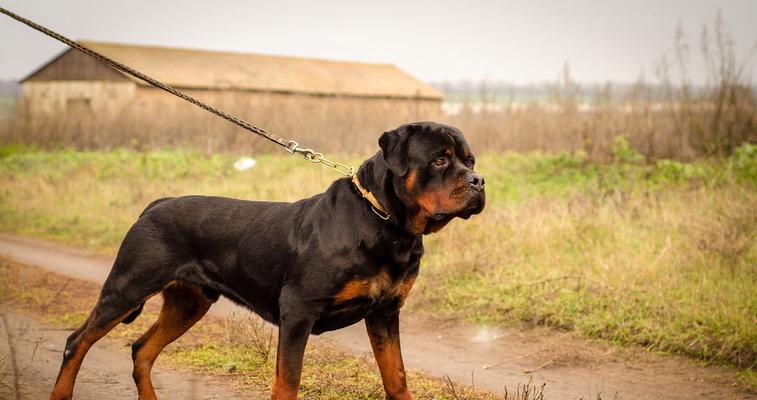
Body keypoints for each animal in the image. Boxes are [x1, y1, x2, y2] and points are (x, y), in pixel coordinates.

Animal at [48, 120, 484, 398]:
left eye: (471, 161)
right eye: (440, 160)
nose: (479, 181)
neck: (384, 221)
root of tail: (155, 204)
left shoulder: (384, 313)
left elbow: (397, 379)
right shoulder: (298, 311)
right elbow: (286, 383)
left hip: (189, 302)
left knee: (141, 350)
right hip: (127, 288)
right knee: (77, 342)